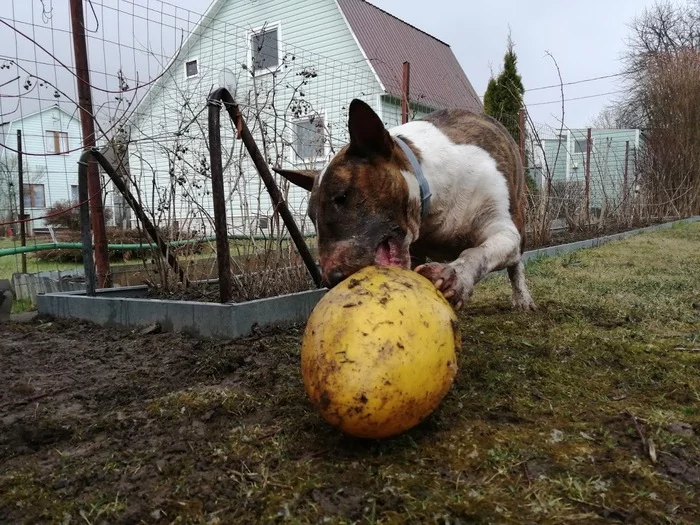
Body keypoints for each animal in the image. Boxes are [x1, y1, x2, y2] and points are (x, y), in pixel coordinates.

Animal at [274, 99, 536, 312]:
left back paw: (522, 298)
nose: (332, 279)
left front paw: (453, 278)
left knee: (515, 264)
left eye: (341, 197)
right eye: (311, 216)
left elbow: (479, 253)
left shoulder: (502, 228)